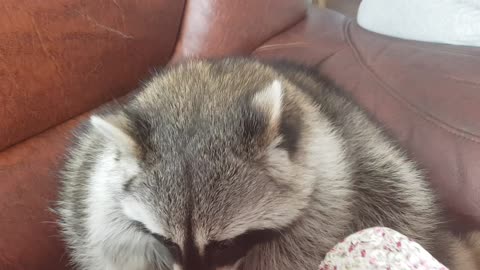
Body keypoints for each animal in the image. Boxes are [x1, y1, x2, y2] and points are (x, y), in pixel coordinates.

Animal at [55, 58, 476, 268]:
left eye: (226, 244)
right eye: (165, 241)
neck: (206, 92)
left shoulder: (331, 188)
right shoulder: (96, 188)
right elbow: (108, 237)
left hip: (377, 162)